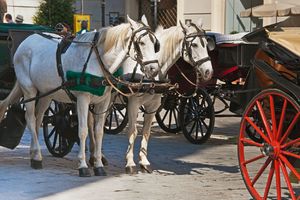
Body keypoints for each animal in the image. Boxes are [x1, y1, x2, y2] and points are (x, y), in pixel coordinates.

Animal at [1, 15, 161, 176]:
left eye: (155, 44)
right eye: (141, 42)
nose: (154, 69)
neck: (98, 61)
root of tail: (26, 41)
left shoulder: (104, 102)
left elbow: (98, 132)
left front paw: (98, 165)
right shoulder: (83, 99)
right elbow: (83, 131)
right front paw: (83, 165)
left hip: (46, 94)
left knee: (37, 119)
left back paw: (34, 153)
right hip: (29, 90)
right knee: (29, 119)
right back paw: (37, 158)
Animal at [88, 19, 214, 174]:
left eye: (206, 44)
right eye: (195, 44)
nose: (209, 71)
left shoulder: (153, 106)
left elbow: (146, 132)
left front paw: (144, 161)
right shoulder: (133, 103)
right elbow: (133, 131)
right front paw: (130, 162)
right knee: (92, 124)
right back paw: (95, 157)